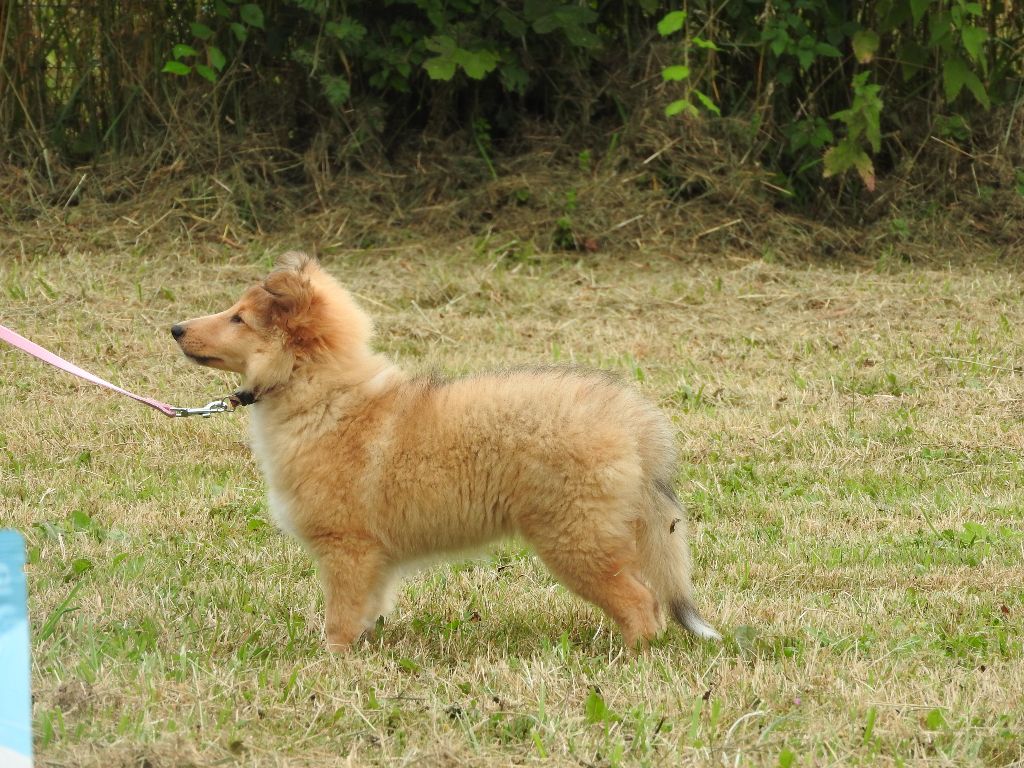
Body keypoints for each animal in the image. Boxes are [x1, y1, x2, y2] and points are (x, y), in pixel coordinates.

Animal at [169, 253, 720, 651]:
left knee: (642, 603)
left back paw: (631, 658)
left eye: (239, 319)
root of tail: (630, 419)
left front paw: (330, 663)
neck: (322, 393)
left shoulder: (346, 548)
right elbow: (365, 611)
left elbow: (339, 619)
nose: (174, 328)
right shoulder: (372, 559)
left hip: (576, 539)